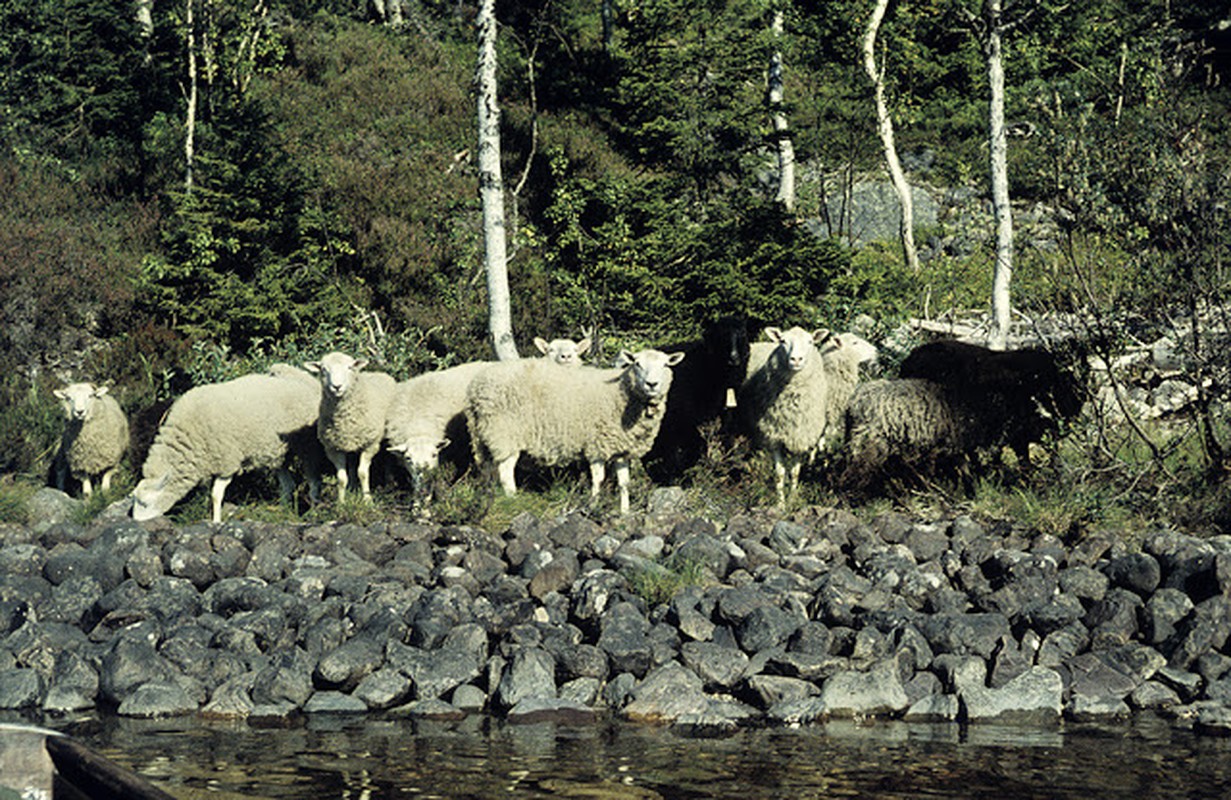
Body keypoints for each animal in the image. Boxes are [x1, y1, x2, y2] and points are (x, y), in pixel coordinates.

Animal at [131, 364, 322, 519]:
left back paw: (313, 511)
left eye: (145, 503)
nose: (135, 522)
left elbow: (215, 495)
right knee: (288, 485)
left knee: (313, 479)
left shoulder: (227, 463)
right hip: (276, 452)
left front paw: (216, 521)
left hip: (307, 444)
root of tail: (307, 378)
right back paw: (281, 511)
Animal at [302, 349, 393, 497]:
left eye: (349, 367)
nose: (337, 386)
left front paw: (367, 498)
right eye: (323, 369)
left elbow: (362, 473)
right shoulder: (334, 448)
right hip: (349, 442)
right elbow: (341, 478)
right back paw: (352, 486)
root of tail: (377, 372)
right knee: (351, 463)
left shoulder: (370, 444)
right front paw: (341, 501)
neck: (344, 419)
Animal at [465, 347, 689, 512]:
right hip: (505, 434)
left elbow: (624, 483)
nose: (652, 384)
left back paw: (490, 496)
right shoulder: (597, 444)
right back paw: (513, 499)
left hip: (484, 435)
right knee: (505, 471)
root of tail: (476, 386)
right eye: (637, 364)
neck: (624, 395)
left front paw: (625, 512)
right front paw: (593, 506)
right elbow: (598, 479)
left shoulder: (621, 447)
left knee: (488, 469)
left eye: (665, 364)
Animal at [645, 315, 748, 482]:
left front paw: (733, 471)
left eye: (743, 334)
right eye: (721, 335)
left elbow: (726, 437)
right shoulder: (685, 414)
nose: (734, 359)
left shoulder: (726, 410)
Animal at [733, 327, 832, 507]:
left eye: (810, 341)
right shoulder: (774, 437)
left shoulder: (799, 437)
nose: (796, 359)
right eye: (783, 341)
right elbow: (779, 473)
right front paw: (780, 504)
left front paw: (792, 499)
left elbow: (794, 473)